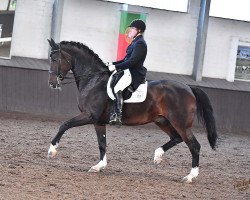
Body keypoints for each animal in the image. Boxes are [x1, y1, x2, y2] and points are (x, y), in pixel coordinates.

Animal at [47, 38, 217, 183]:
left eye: (54, 59)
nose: (52, 83)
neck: (93, 80)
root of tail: (189, 88)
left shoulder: (89, 116)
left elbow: (65, 125)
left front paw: (52, 150)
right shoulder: (98, 121)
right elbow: (102, 143)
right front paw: (99, 166)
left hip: (181, 123)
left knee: (194, 145)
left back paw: (190, 176)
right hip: (162, 121)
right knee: (177, 138)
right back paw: (158, 155)